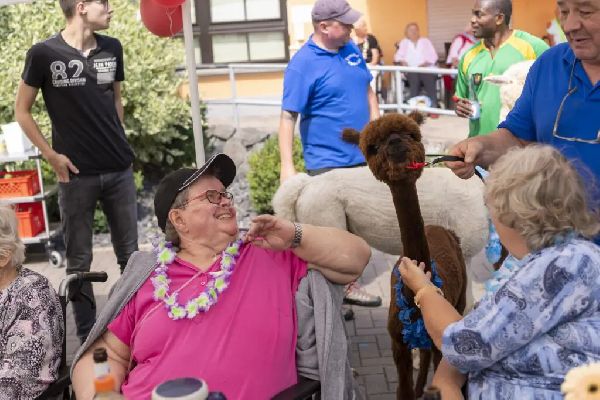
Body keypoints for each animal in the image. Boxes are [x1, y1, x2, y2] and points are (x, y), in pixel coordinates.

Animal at [342, 112, 467, 400]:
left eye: (413, 135)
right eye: (372, 147)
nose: (395, 142)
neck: (414, 297)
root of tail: (439, 228)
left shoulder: (440, 340)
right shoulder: (398, 343)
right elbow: (403, 391)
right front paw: (417, 389)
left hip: (460, 298)